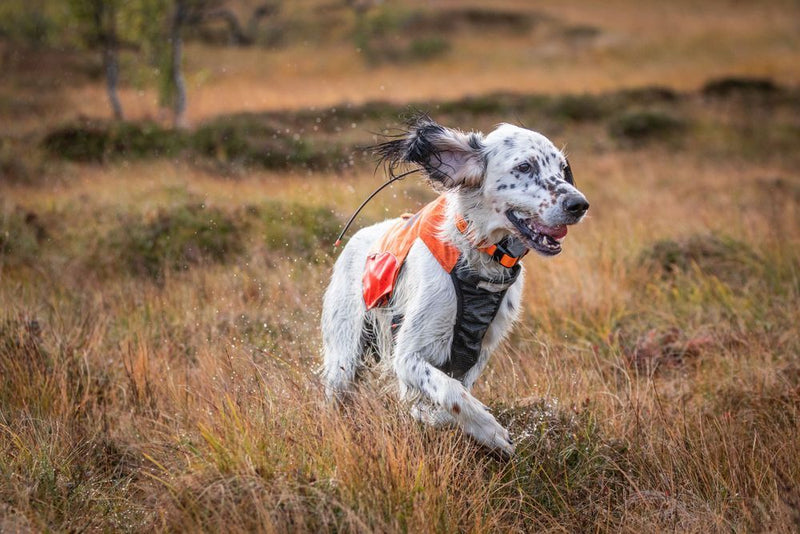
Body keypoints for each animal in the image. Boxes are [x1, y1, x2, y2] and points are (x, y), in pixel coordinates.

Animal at [322, 116, 592, 456]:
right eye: (525, 166)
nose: (579, 204)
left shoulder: (477, 352)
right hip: (344, 355)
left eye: (562, 168)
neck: (478, 258)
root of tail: (357, 238)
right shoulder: (407, 356)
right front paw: (491, 431)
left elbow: (450, 395)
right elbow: (450, 395)